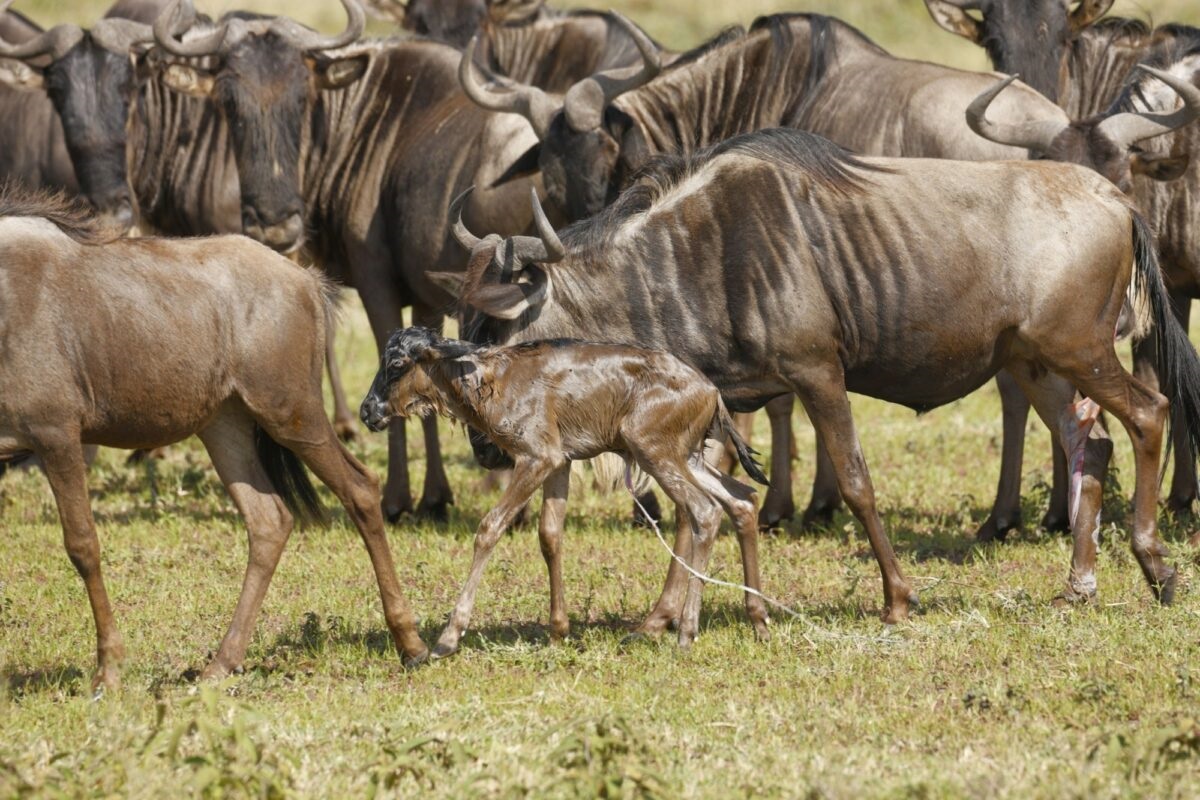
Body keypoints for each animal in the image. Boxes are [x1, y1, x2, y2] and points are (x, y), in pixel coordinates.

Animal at [0, 185, 429, 690]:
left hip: (291, 414)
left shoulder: (57, 436)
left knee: (360, 490)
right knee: (269, 520)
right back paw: (222, 662)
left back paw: (411, 643)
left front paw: (109, 669)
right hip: (225, 427)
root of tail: (305, 280)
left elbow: (83, 545)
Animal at [355, 321, 768, 662]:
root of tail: (711, 392)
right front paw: (558, 632)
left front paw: (448, 638)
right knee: (742, 499)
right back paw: (758, 620)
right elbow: (549, 535)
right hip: (687, 458)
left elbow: (490, 528)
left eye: (396, 363)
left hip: (654, 452)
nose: (367, 411)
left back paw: (686, 633)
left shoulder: (537, 458)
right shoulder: (561, 462)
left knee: (704, 511)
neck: (493, 379)